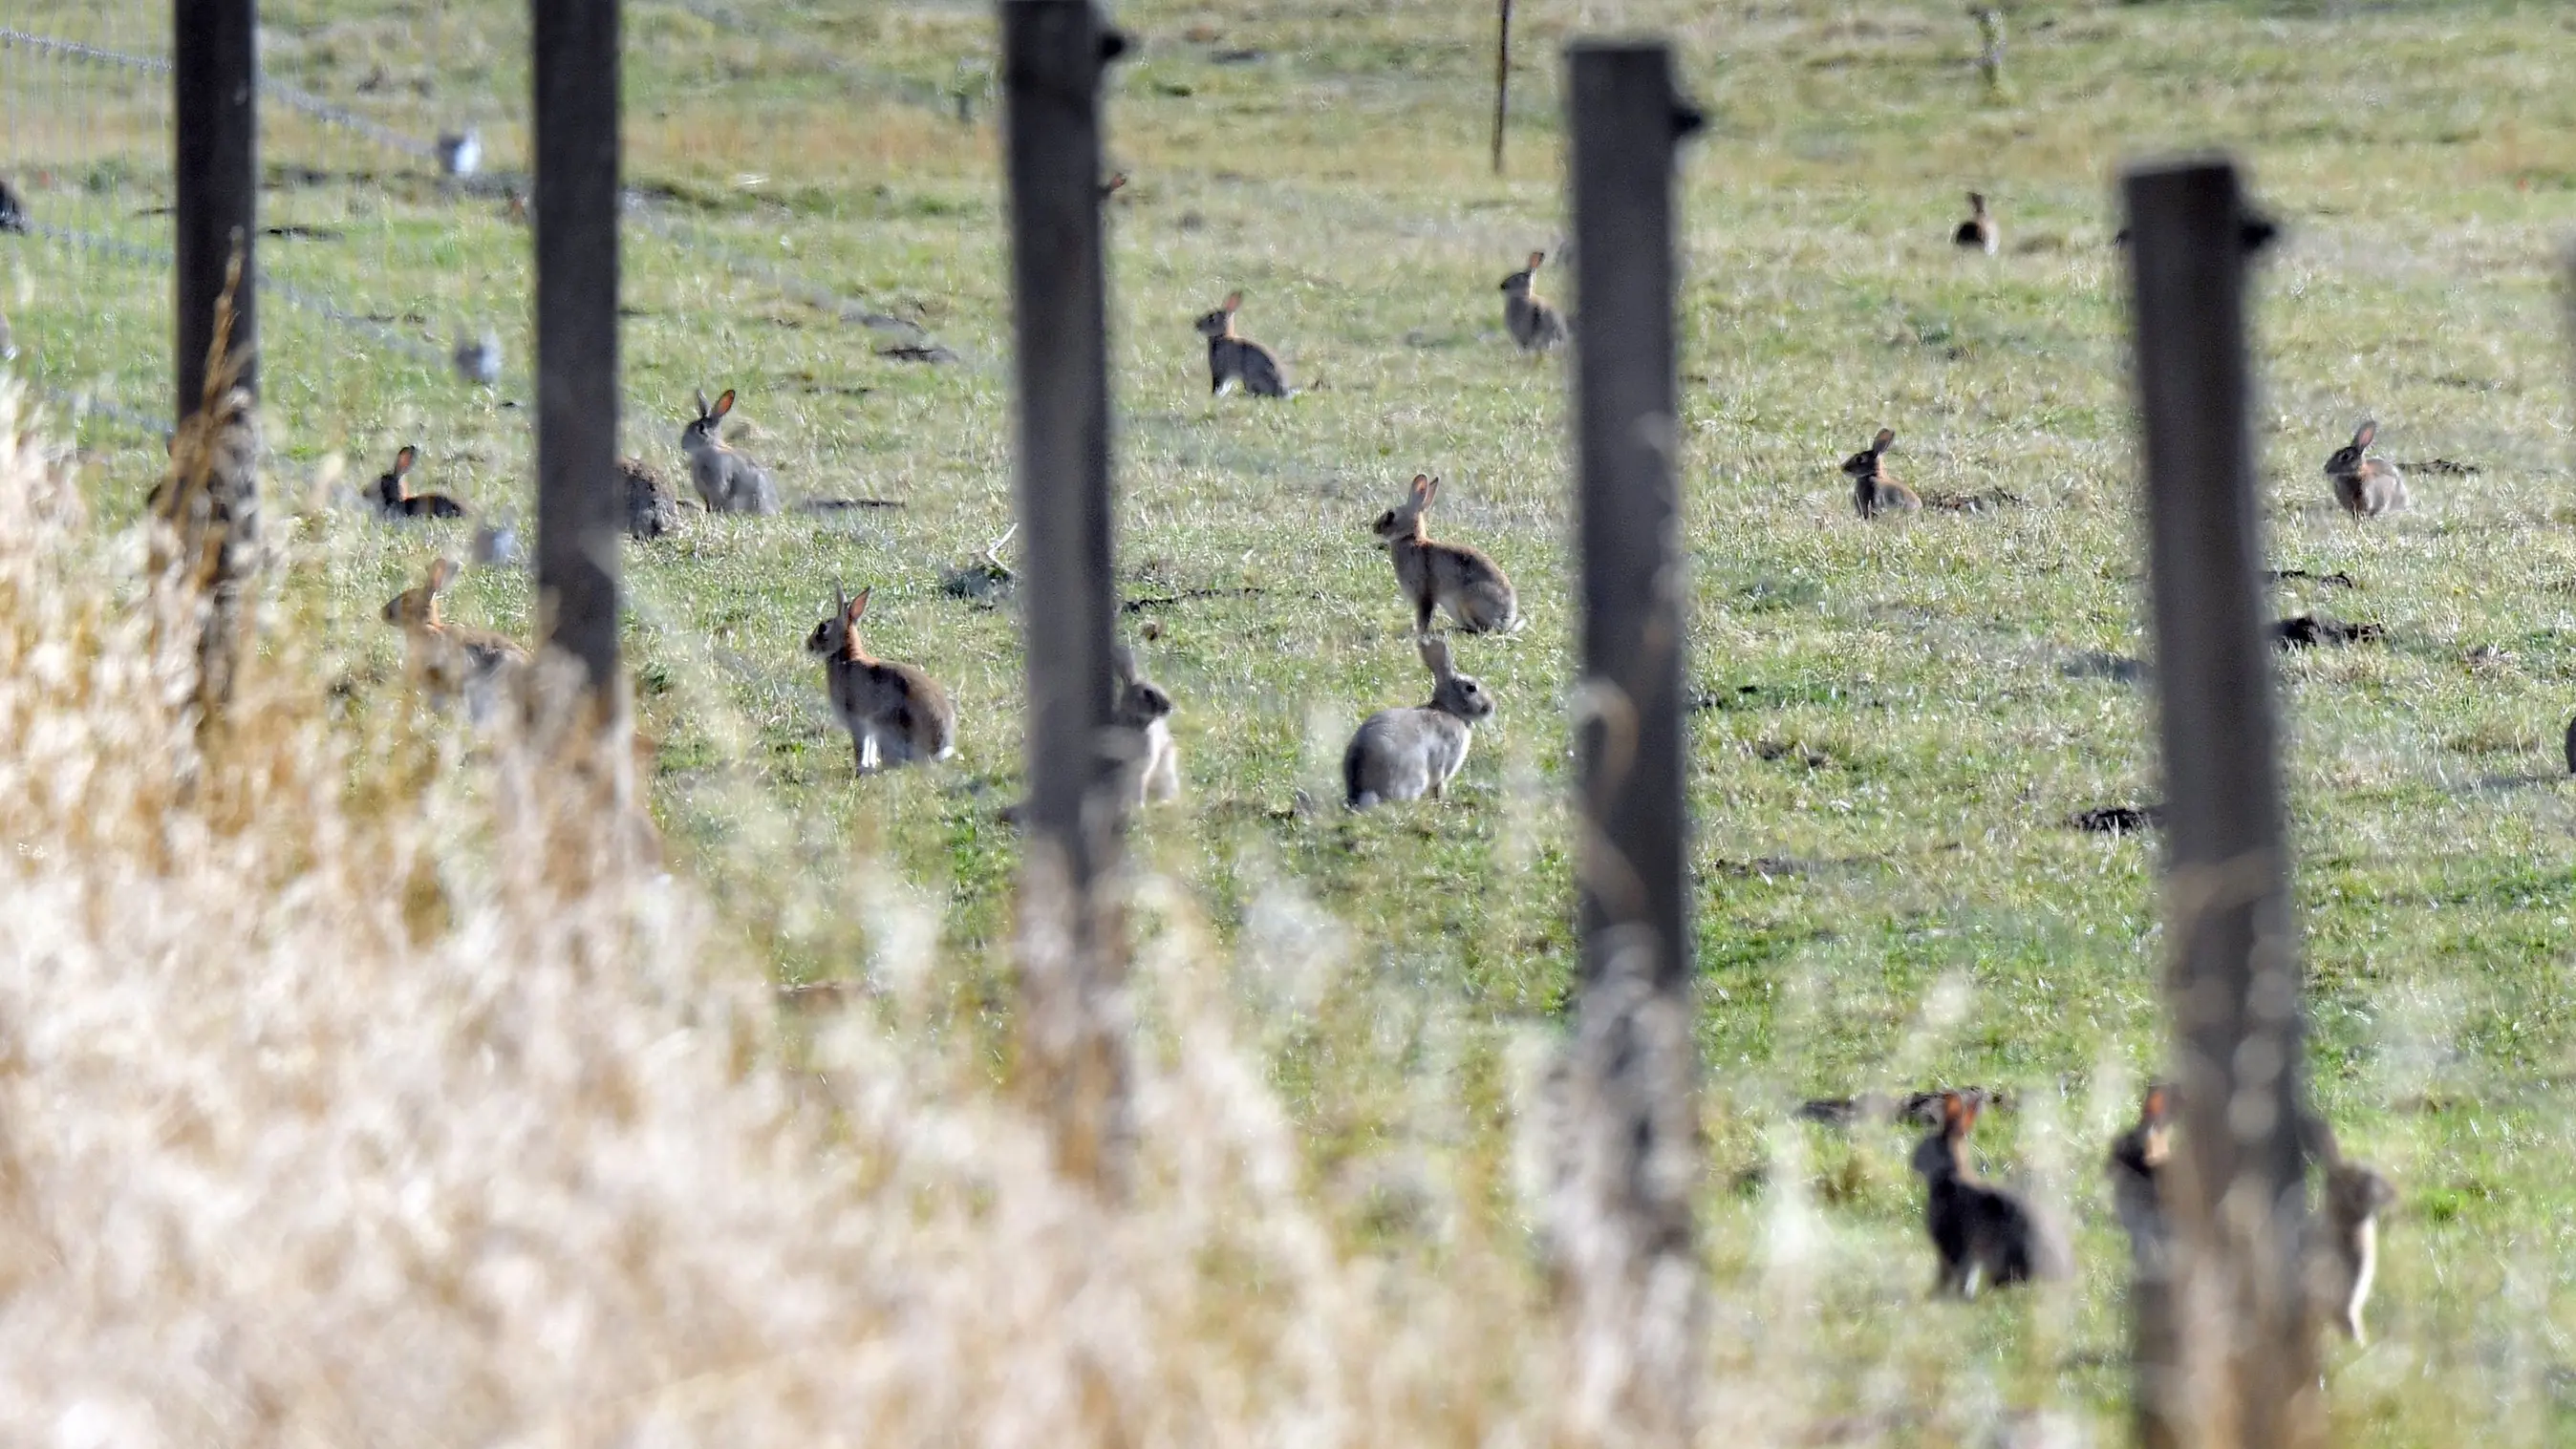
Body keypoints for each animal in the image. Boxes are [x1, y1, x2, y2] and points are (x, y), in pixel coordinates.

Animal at [805, 585, 956, 774]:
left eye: (822, 628)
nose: (808, 645)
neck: (847, 656)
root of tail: (938, 751)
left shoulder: (857, 721)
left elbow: (861, 746)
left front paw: (860, 768)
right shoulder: (870, 729)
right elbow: (870, 747)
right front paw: (867, 765)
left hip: (889, 725)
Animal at [1343, 634, 1496, 809]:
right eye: (1471, 688)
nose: (1492, 706)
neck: (1449, 710)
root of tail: (1363, 792)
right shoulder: (1445, 760)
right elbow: (1439, 785)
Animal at [1372, 473, 1520, 634]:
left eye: (1391, 515)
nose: (1374, 527)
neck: (1411, 538)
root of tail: (1506, 620)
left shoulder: (1424, 595)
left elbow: (1424, 616)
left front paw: (1418, 633)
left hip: (1469, 600)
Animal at [1910, 1090, 2069, 1298]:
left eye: (1925, 1145)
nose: (1912, 1162)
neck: (1951, 1175)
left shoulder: (1951, 1242)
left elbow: (1949, 1273)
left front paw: (1938, 1295)